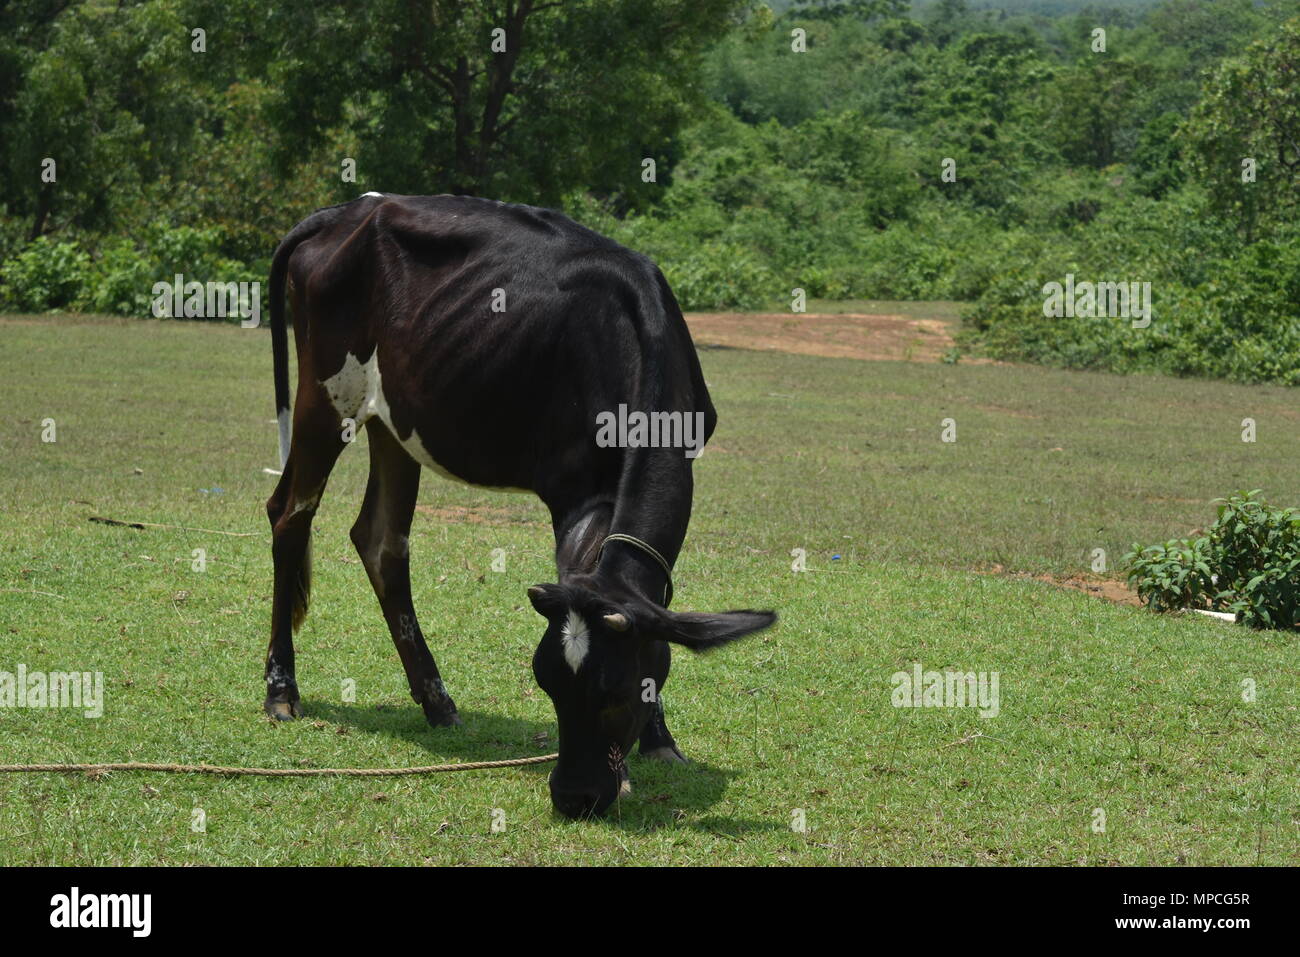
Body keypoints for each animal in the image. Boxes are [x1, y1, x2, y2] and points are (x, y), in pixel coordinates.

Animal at [264, 193, 776, 818]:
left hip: (396, 417)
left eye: (616, 691)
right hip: (324, 394)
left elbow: (656, 610)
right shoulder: (570, 489)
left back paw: (438, 703)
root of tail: (345, 211)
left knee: (380, 539)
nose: (575, 796)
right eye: (547, 683)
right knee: (290, 513)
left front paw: (660, 739)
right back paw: (281, 690)